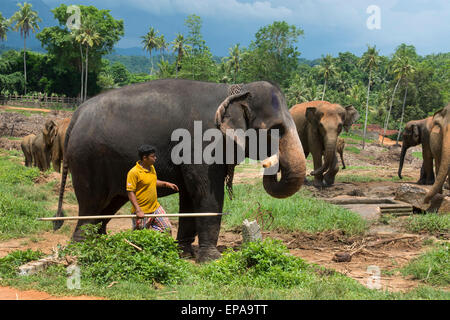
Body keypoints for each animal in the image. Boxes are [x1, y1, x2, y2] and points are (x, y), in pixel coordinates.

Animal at [52, 80, 306, 262]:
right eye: (275, 129)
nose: (269, 163)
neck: (233, 90)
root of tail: (75, 115)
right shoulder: (202, 144)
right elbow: (206, 194)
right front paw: (213, 259)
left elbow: (189, 196)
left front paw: (184, 253)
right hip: (87, 160)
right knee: (91, 204)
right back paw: (83, 248)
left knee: (109, 204)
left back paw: (103, 243)